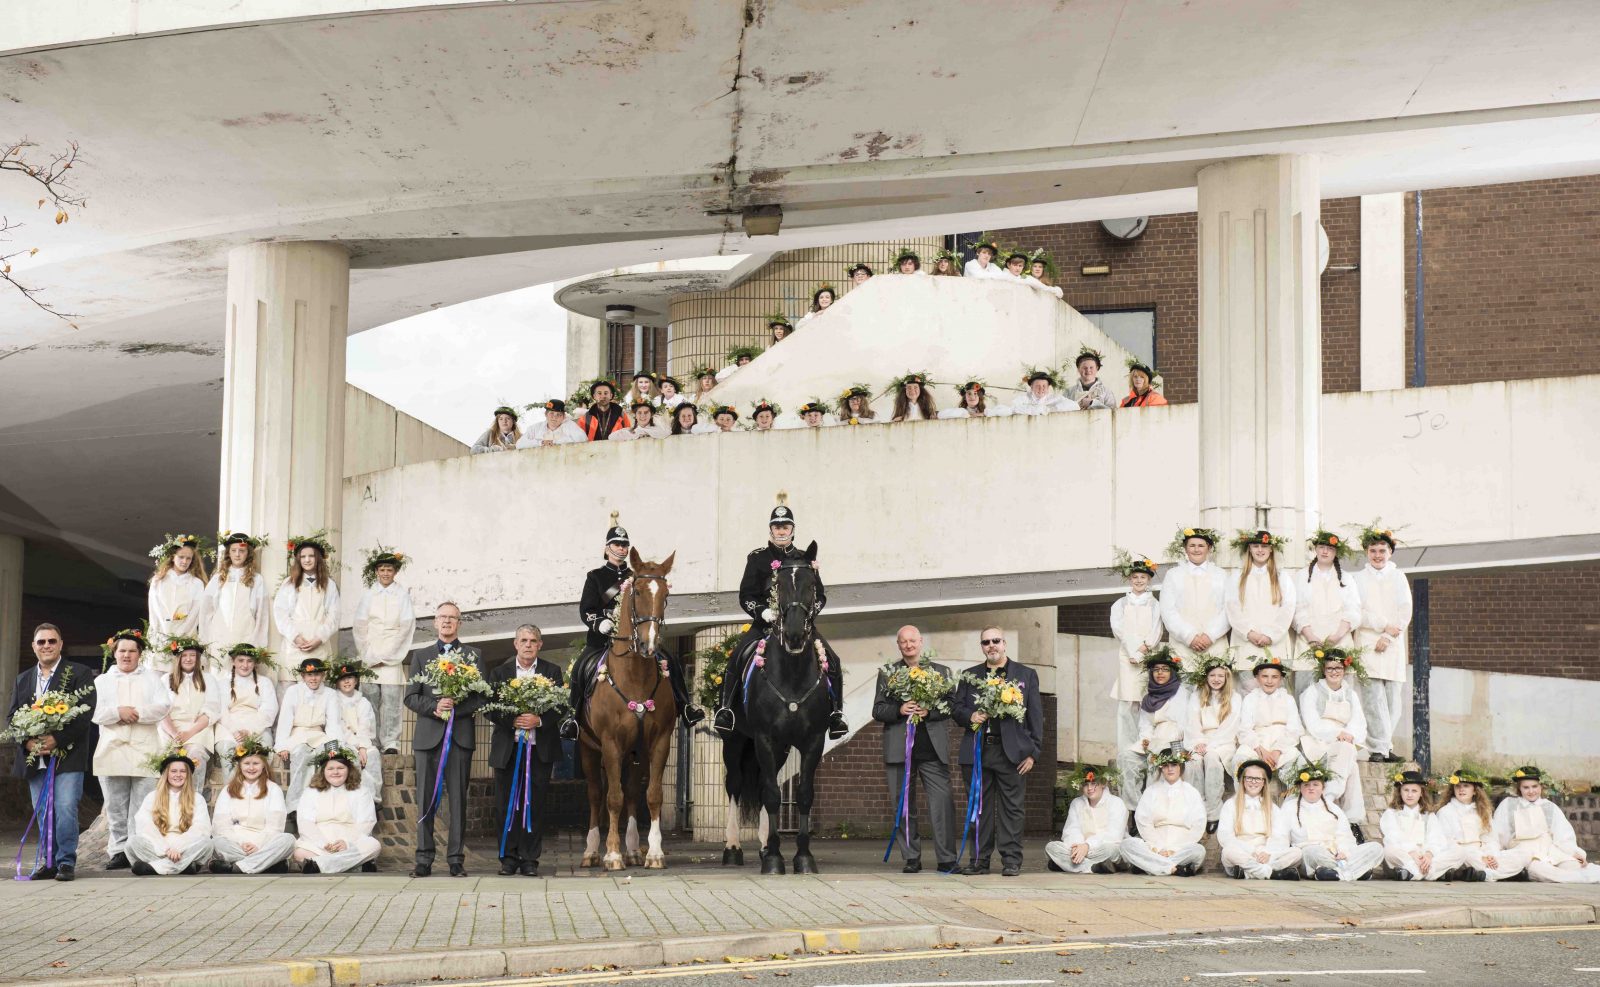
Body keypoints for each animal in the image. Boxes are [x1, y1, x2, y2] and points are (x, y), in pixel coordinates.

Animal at [576, 547, 675, 870]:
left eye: (665, 594)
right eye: (639, 591)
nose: (648, 645)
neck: (635, 676)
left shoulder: (658, 742)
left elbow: (652, 795)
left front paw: (654, 853)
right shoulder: (610, 743)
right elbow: (613, 798)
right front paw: (612, 854)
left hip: (635, 752)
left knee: (631, 791)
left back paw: (633, 848)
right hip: (589, 749)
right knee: (597, 794)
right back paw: (592, 850)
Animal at [720, 543, 832, 876]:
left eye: (811, 585)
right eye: (778, 585)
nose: (794, 634)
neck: (792, 672)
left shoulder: (812, 741)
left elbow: (803, 795)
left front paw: (802, 857)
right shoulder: (764, 739)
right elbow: (771, 794)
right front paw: (773, 860)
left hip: (781, 749)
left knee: (758, 785)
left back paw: (764, 845)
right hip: (735, 741)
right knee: (735, 785)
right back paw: (733, 848)